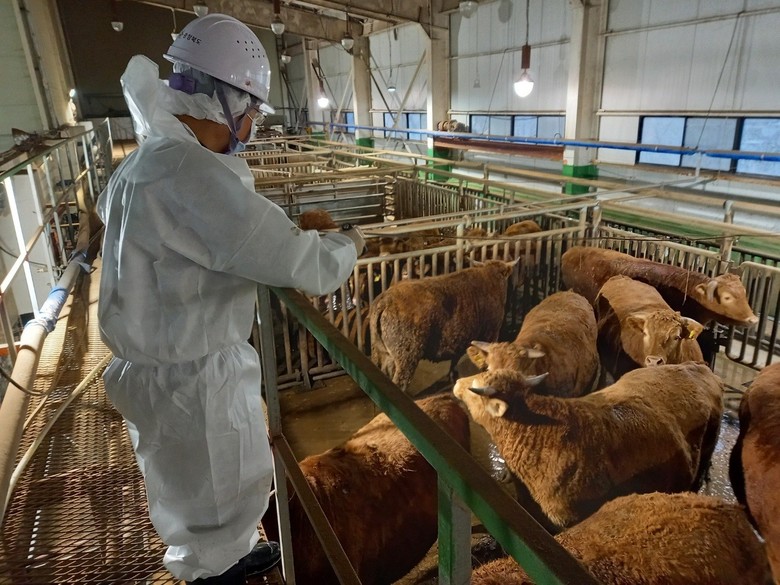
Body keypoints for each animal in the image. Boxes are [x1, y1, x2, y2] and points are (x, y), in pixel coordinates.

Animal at [370, 259, 519, 393]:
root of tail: (385, 301)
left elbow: (456, 358)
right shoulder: (491, 333)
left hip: (381, 352)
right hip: (407, 356)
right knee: (401, 382)